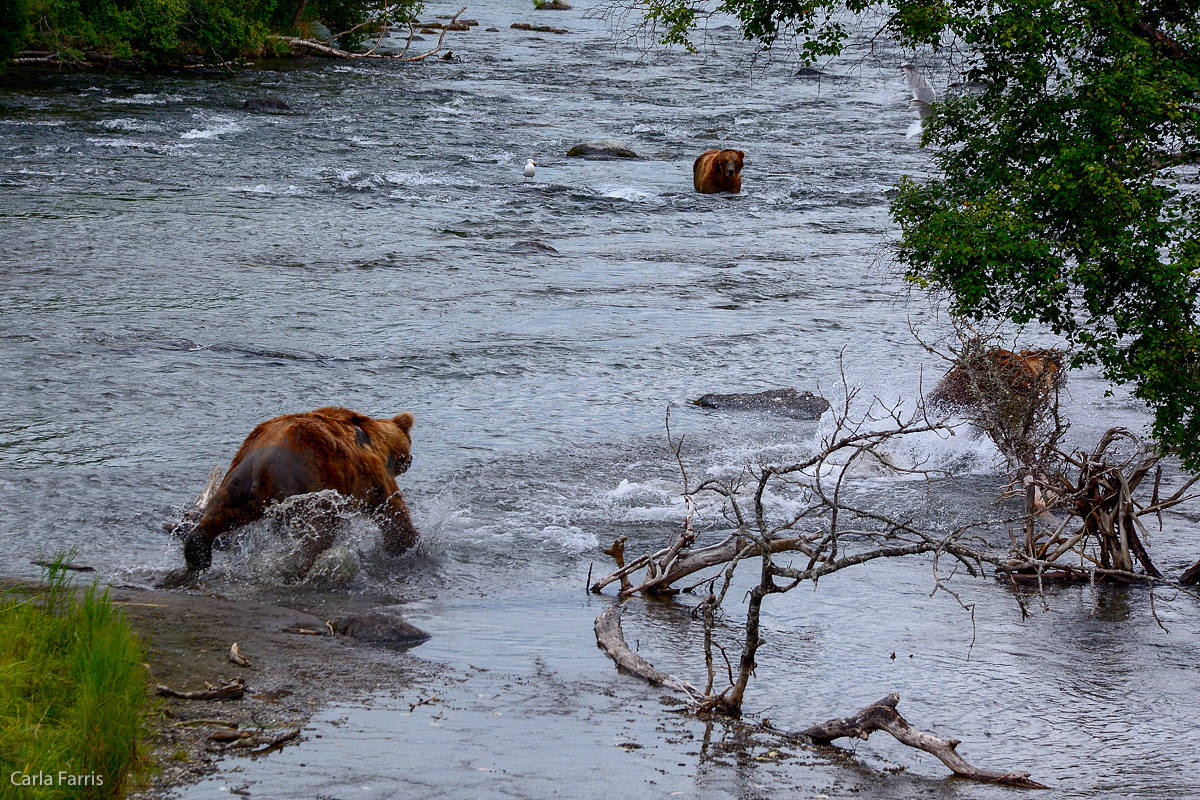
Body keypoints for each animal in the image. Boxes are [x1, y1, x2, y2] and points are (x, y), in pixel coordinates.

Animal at [180, 407, 420, 575]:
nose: (411, 459)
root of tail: (263, 464)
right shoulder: (372, 476)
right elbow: (392, 509)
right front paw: (407, 544)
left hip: (238, 482)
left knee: (218, 513)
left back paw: (197, 554)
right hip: (308, 487)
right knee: (319, 530)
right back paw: (305, 566)